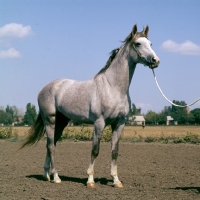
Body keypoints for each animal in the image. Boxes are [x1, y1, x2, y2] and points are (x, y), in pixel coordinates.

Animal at [21, 24, 159, 188]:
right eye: (138, 44)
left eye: (150, 44)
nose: (156, 60)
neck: (113, 87)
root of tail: (45, 88)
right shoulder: (99, 123)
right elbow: (95, 150)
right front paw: (90, 180)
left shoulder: (119, 124)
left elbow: (114, 151)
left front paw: (116, 180)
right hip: (50, 121)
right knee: (51, 146)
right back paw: (56, 177)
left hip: (61, 122)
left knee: (51, 143)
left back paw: (46, 175)